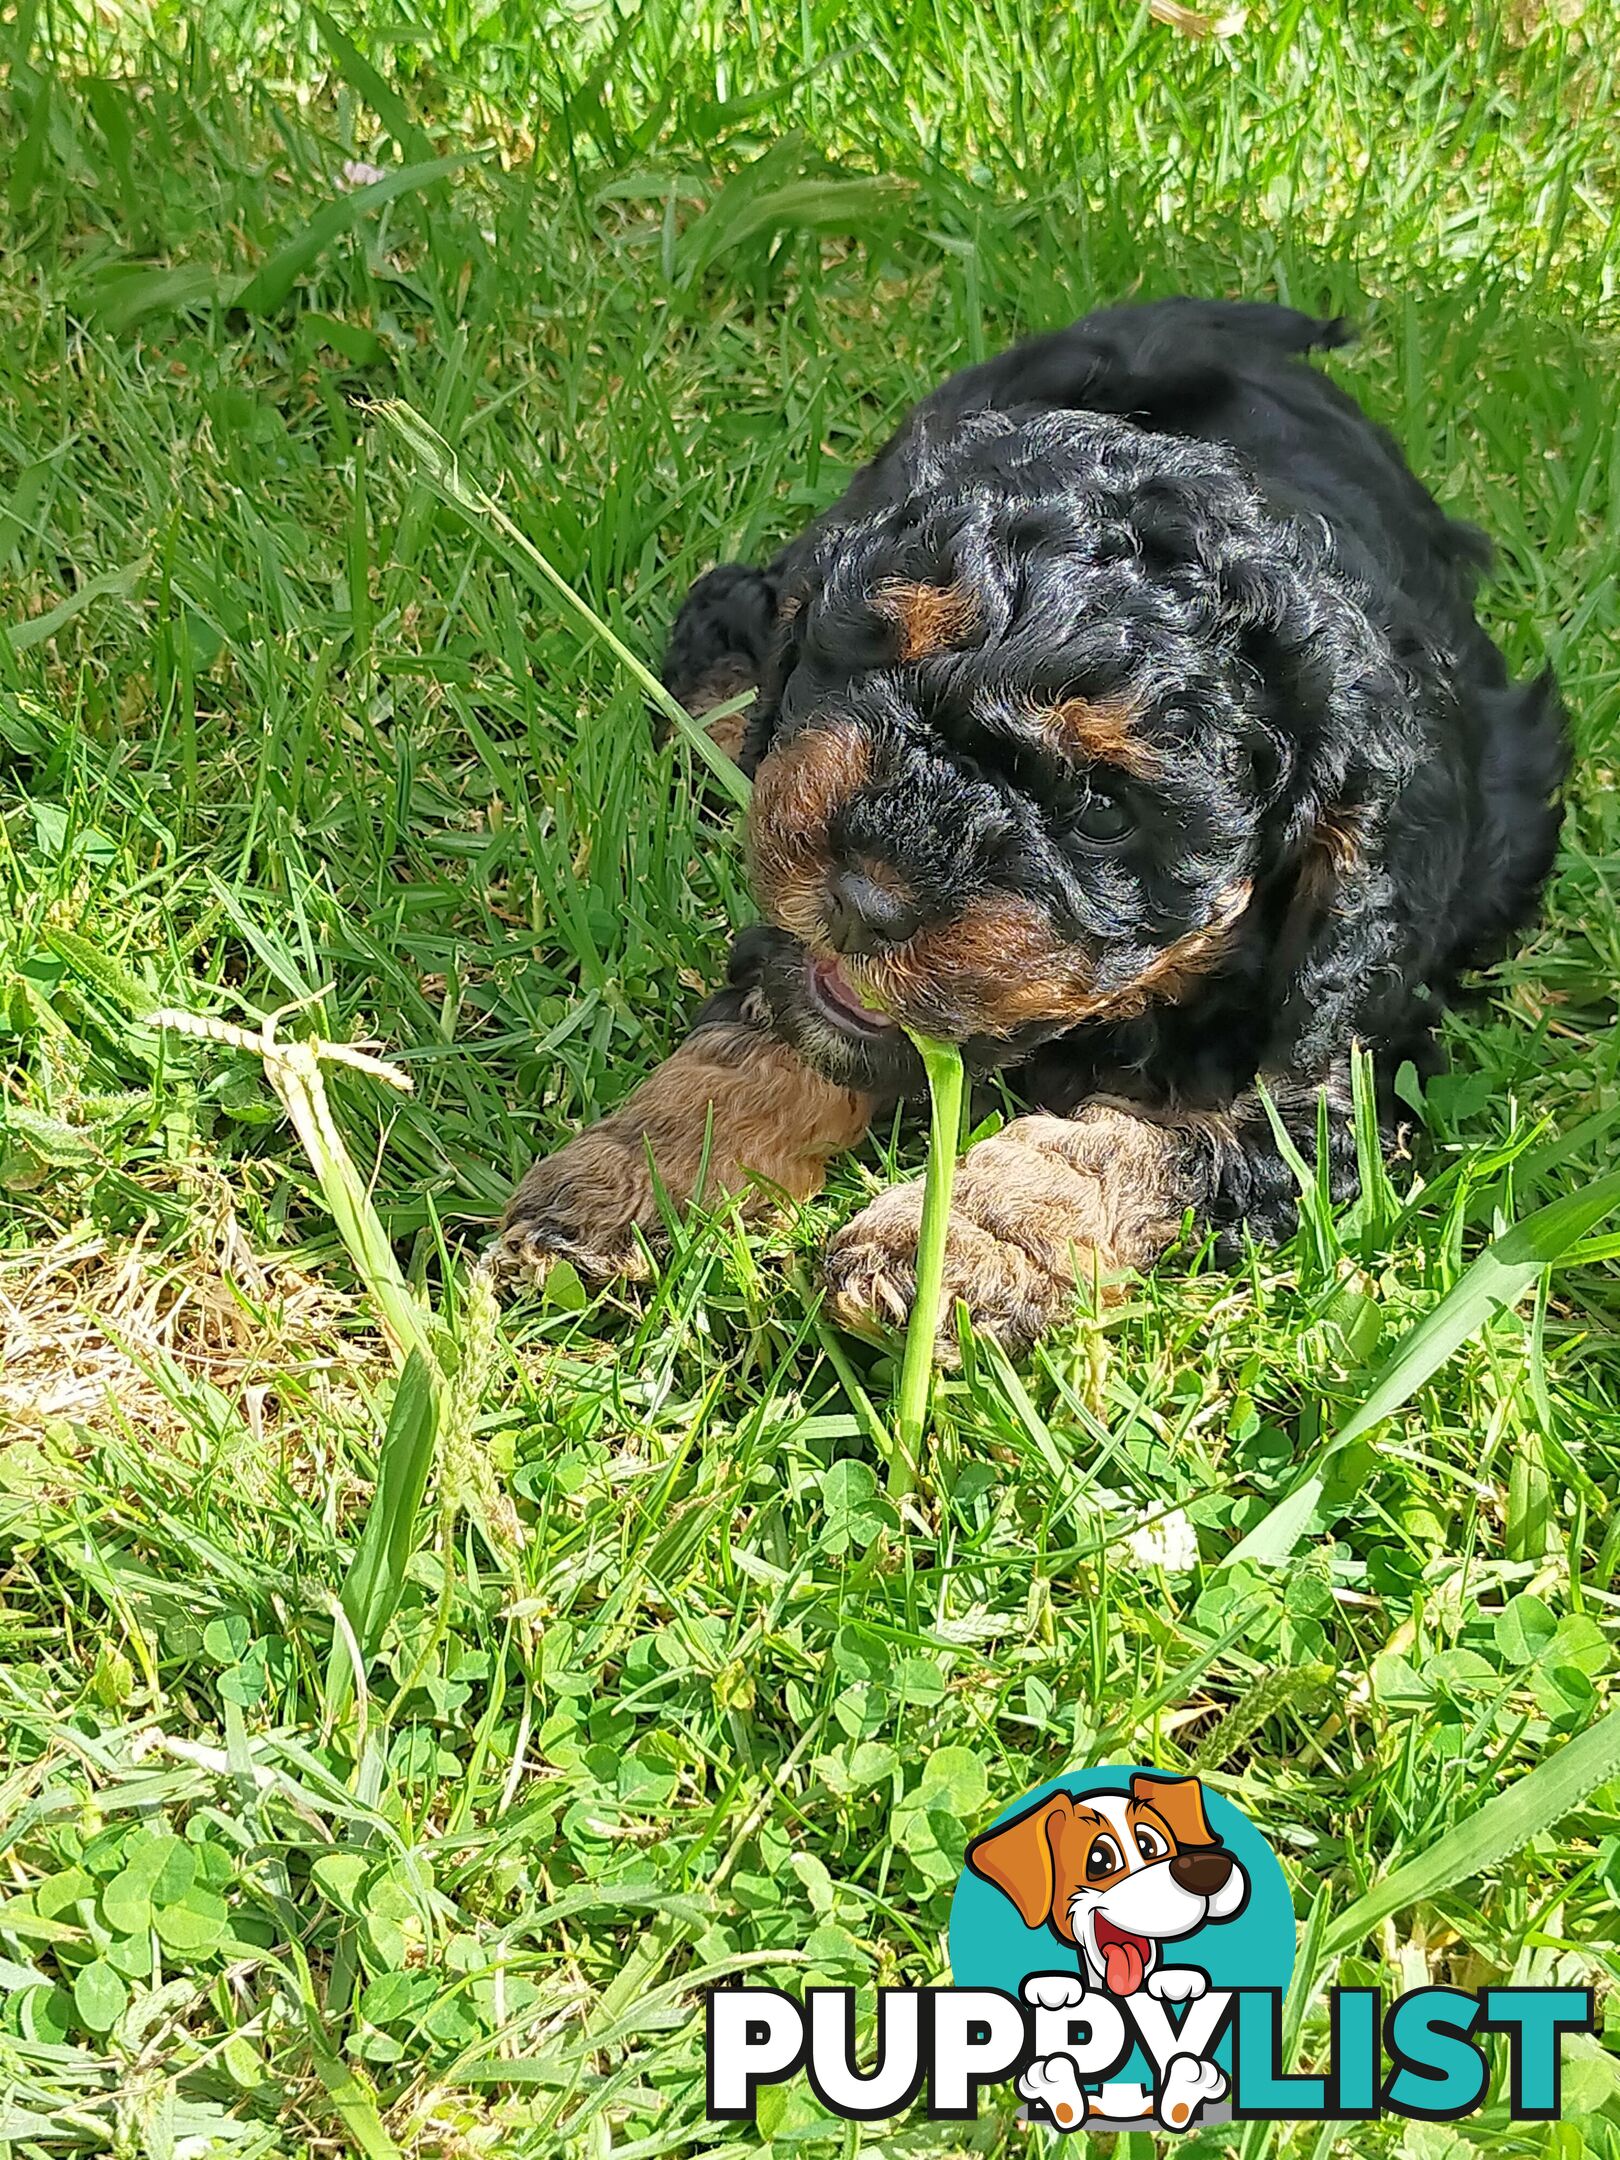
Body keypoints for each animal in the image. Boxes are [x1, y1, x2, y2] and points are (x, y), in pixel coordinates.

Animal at [501, 300, 1563, 1347]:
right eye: (875, 661)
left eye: (1100, 808)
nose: (863, 899)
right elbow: (777, 1023)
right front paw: (626, 1178)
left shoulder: (1325, 1077)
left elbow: (1139, 1141)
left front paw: (962, 1243)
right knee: (742, 591)